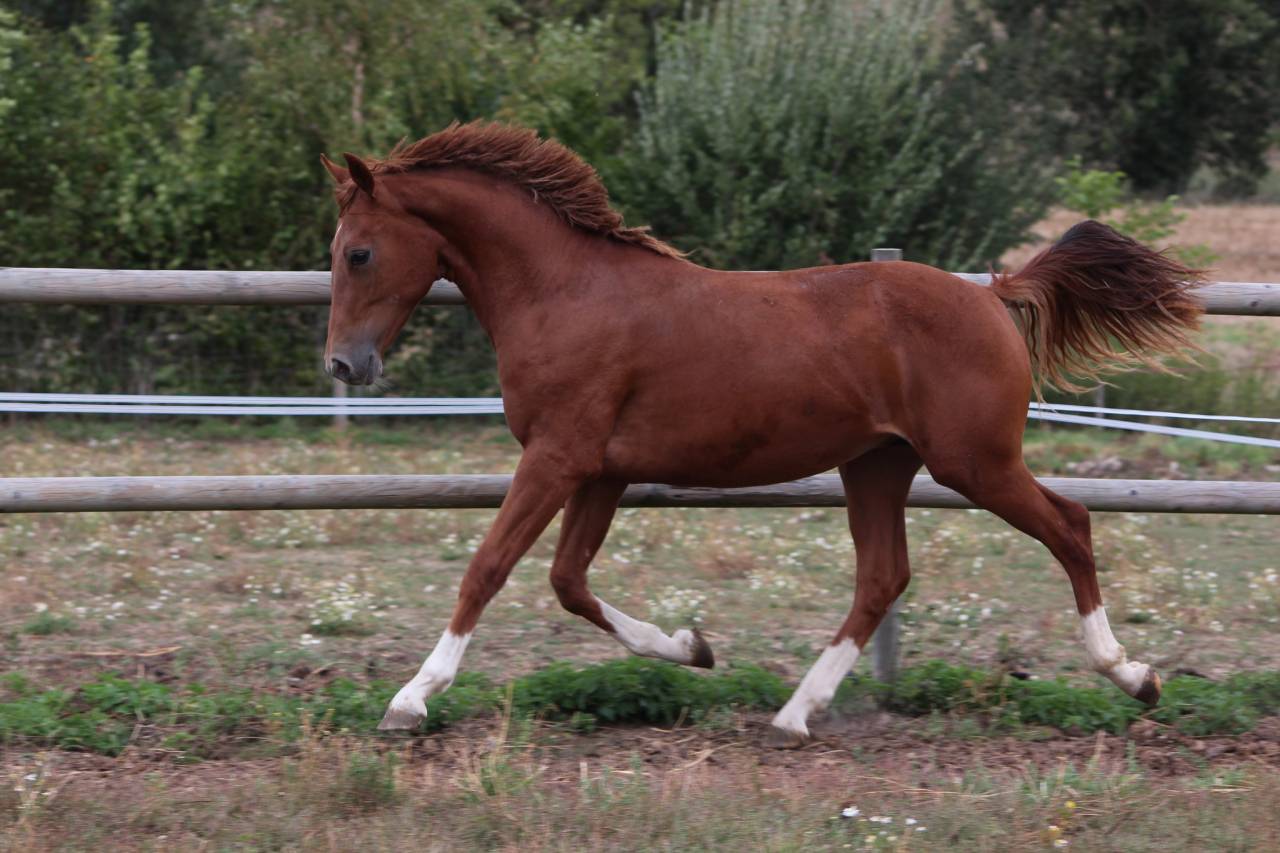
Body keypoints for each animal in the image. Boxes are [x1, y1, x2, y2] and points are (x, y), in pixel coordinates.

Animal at [319, 121, 1202, 747]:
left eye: (358, 252)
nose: (343, 363)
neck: (566, 292)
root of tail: (992, 293)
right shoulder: (599, 469)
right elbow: (569, 582)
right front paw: (692, 646)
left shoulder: (558, 456)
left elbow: (489, 567)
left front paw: (409, 700)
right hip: (878, 464)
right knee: (883, 575)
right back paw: (794, 713)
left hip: (973, 462)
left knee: (1071, 524)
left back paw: (1133, 675)